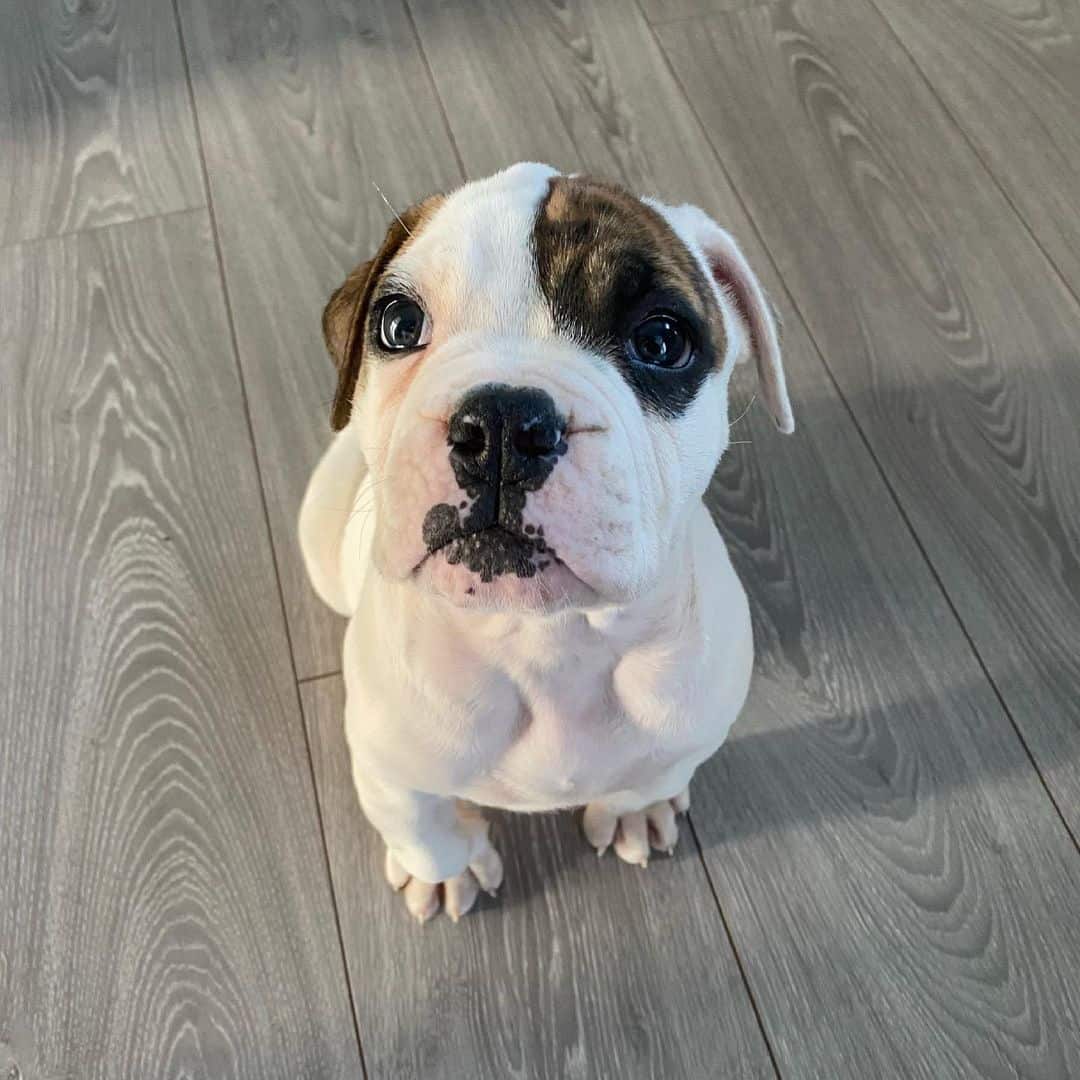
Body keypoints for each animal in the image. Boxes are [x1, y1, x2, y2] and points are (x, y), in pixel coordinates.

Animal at [300, 159, 790, 920]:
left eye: (662, 341)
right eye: (399, 324)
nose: (502, 423)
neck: (548, 641)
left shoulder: (691, 727)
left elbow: (655, 774)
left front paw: (634, 809)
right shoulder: (386, 763)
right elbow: (420, 822)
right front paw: (443, 869)